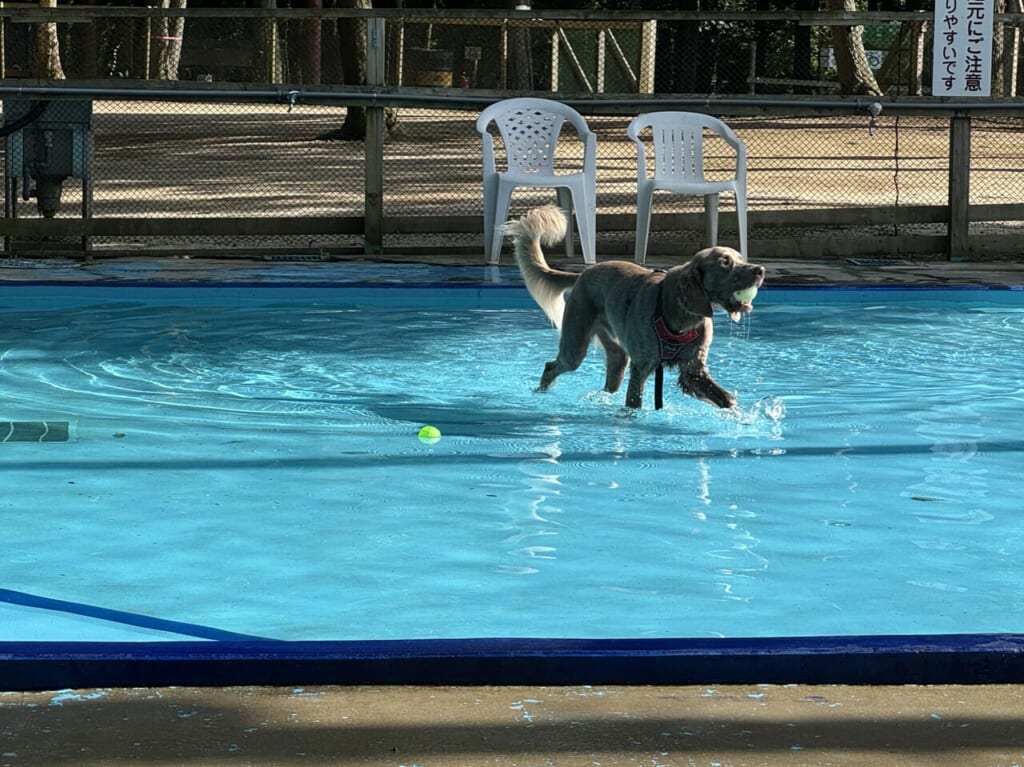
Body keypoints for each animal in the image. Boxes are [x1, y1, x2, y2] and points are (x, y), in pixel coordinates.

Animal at [499, 201, 765, 407]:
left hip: (617, 355)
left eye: (740, 258)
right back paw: (540, 393)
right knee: (551, 366)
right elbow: (634, 403)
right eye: (725, 262)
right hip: (575, 346)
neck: (682, 314)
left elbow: (725, 399)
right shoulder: (642, 367)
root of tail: (584, 273)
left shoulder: (693, 370)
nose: (760, 270)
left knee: (609, 380)